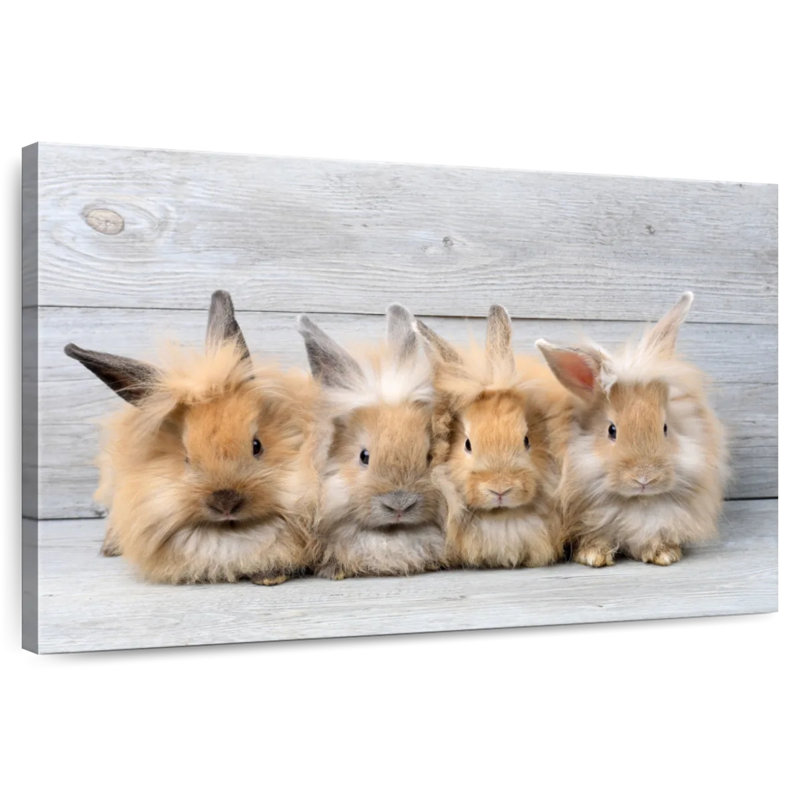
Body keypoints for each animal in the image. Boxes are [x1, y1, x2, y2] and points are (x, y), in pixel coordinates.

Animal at [536, 291, 729, 567]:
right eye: (612, 430)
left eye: (665, 428)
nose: (644, 478)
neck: (636, 503)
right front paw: (594, 556)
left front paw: (665, 555)